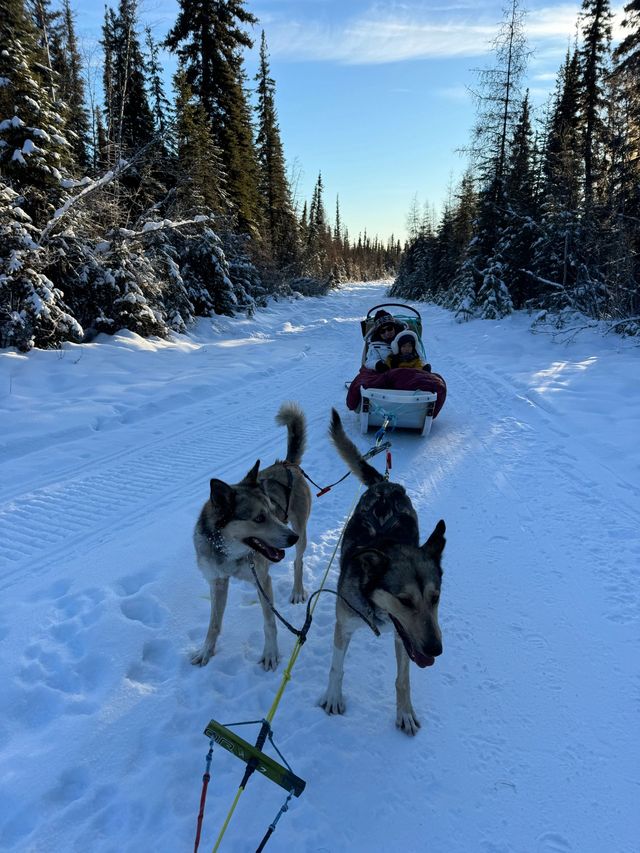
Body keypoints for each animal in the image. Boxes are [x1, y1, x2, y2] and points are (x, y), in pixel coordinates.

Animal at [192, 402, 312, 668]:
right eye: (258, 518)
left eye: (272, 510)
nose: (291, 538)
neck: (229, 552)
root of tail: (287, 464)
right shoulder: (217, 582)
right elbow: (213, 625)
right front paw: (206, 650)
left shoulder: (262, 580)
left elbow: (269, 623)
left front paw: (270, 653)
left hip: (301, 530)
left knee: (298, 562)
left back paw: (297, 590)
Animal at [320, 410, 444, 736]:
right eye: (405, 600)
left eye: (436, 598)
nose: (436, 649)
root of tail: (386, 486)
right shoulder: (344, 625)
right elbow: (336, 667)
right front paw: (333, 697)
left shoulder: (405, 639)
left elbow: (403, 680)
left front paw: (405, 713)